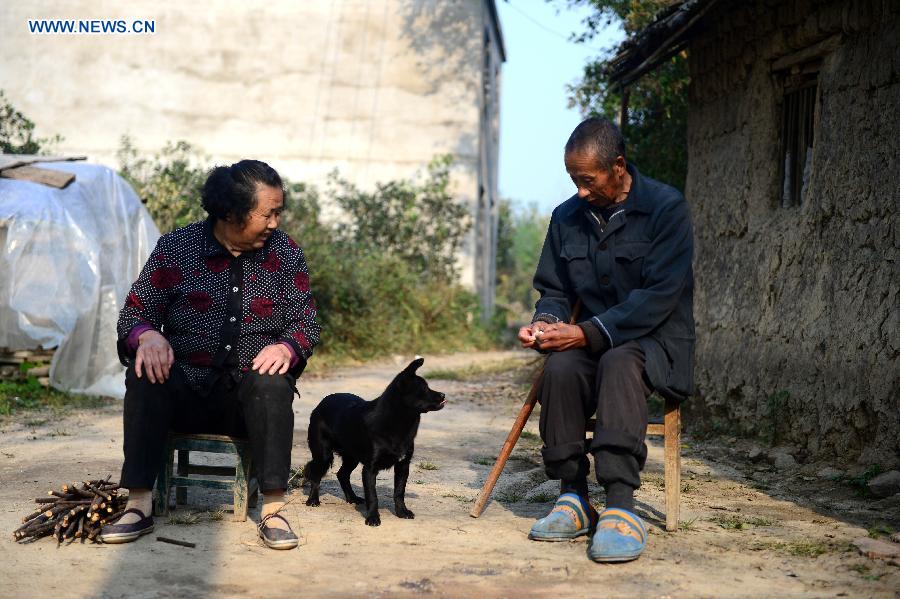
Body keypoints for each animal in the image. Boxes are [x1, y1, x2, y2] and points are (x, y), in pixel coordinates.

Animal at [304, 356, 444, 524]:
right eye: (423, 389)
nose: (443, 395)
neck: (397, 423)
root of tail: (320, 404)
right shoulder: (370, 469)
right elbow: (373, 496)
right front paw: (372, 518)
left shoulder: (403, 465)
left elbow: (399, 492)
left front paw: (402, 512)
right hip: (323, 455)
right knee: (316, 475)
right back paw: (313, 500)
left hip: (351, 457)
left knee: (342, 474)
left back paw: (352, 498)